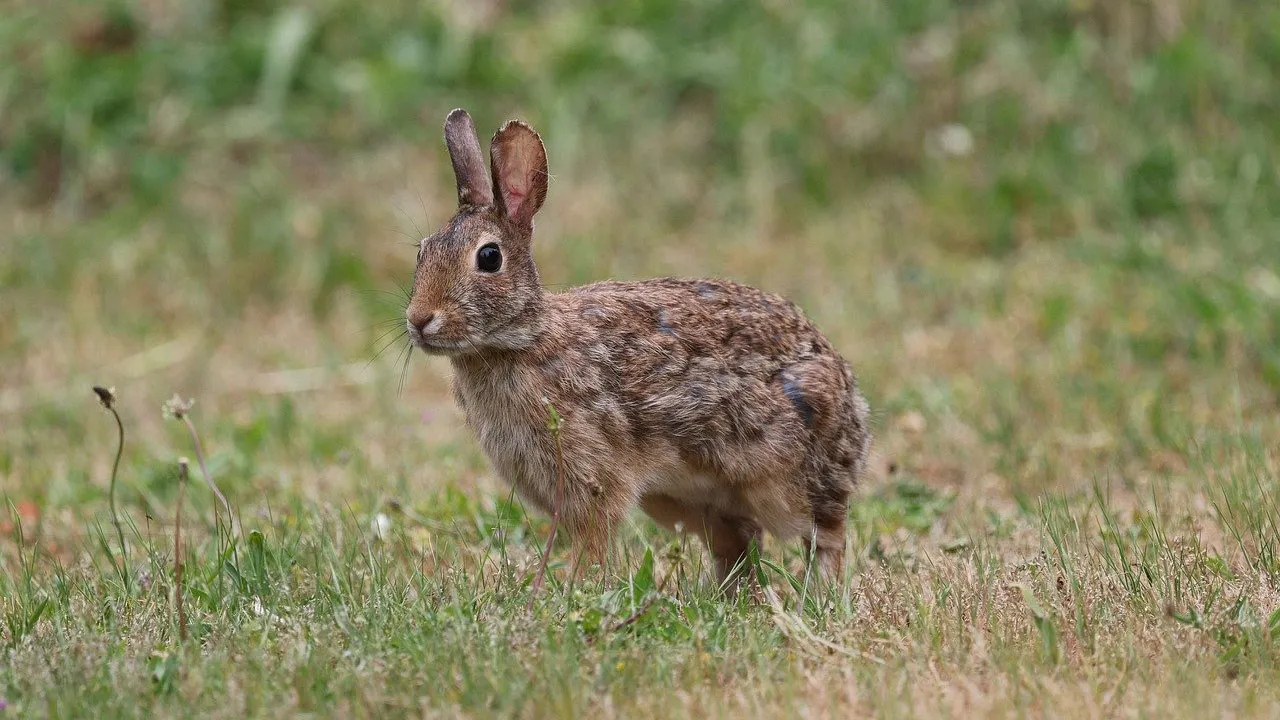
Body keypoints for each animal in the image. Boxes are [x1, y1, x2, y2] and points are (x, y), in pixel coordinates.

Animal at [405, 108, 871, 584]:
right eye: (422, 252)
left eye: (489, 258)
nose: (419, 320)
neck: (522, 342)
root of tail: (851, 399)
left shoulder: (591, 477)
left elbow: (592, 541)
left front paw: (573, 586)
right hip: (681, 499)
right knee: (739, 542)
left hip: (790, 479)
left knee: (825, 534)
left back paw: (822, 590)